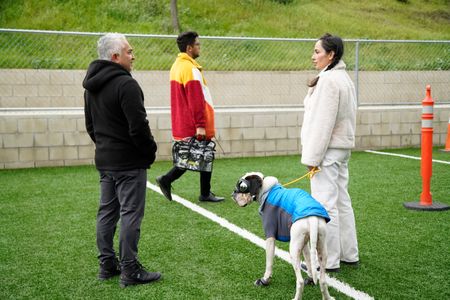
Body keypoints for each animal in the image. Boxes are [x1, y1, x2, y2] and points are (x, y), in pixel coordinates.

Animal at [232, 171, 334, 300]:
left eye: (242, 186)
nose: (233, 192)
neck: (266, 190)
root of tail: (312, 218)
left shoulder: (270, 237)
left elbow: (269, 263)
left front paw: (264, 280)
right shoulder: (305, 244)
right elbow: (309, 262)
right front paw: (311, 279)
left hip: (293, 251)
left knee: (300, 281)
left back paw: (296, 297)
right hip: (320, 249)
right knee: (322, 281)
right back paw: (327, 297)